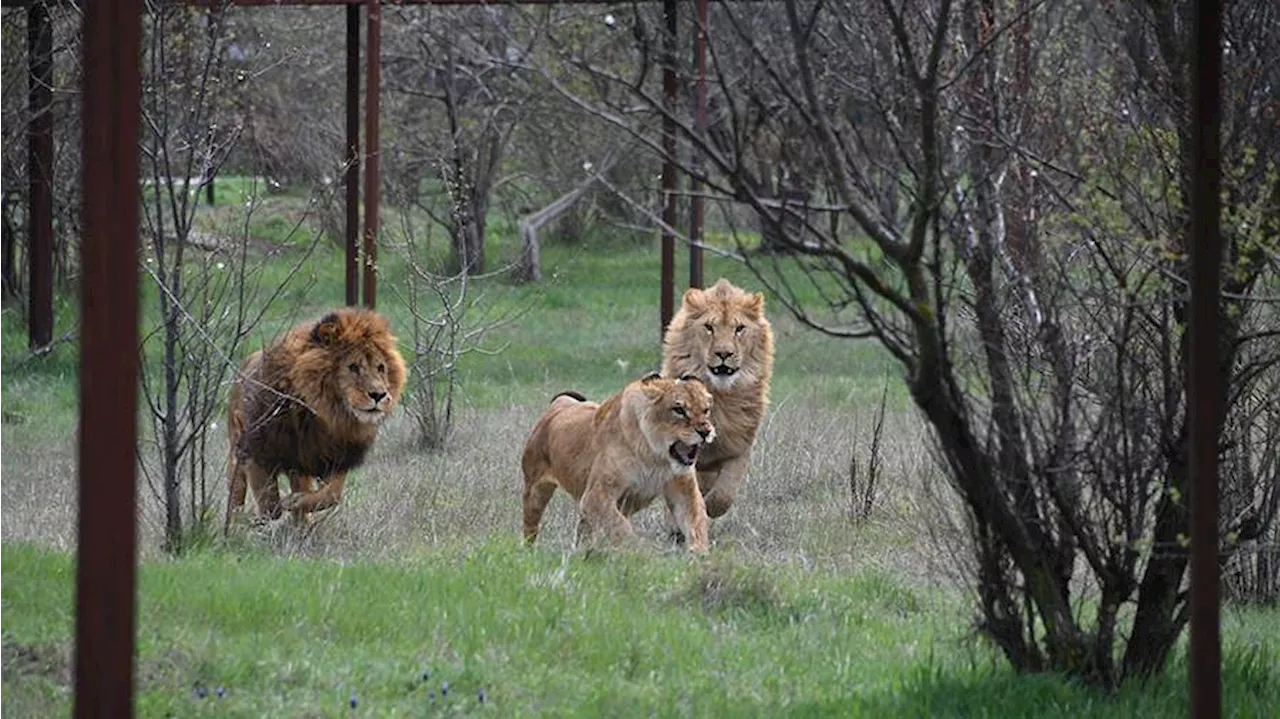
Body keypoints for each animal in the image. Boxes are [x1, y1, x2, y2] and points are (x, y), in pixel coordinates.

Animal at [222, 304, 407, 529]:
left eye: (381, 368)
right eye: (353, 367)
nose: (379, 395)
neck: (324, 413)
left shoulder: (334, 455)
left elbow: (332, 495)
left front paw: (297, 503)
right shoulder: (257, 447)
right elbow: (269, 504)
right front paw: (264, 516)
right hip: (236, 448)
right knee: (236, 489)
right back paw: (236, 522)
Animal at [519, 371, 721, 550]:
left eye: (706, 410)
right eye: (679, 410)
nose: (706, 431)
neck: (655, 457)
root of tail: (560, 405)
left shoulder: (685, 492)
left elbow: (696, 523)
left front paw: (699, 556)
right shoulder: (596, 496)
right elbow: (620, 527)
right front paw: (642, 553)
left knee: (584, 531)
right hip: (535, 491)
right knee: (530, 528)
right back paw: (529, 553)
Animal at [665, 277, 773, 524]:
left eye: (739, 329)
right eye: (709, 327)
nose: (724, 354)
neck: (721, 396)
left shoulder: (739, 447)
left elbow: (725, 492)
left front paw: (710, 509)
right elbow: (687, 489)